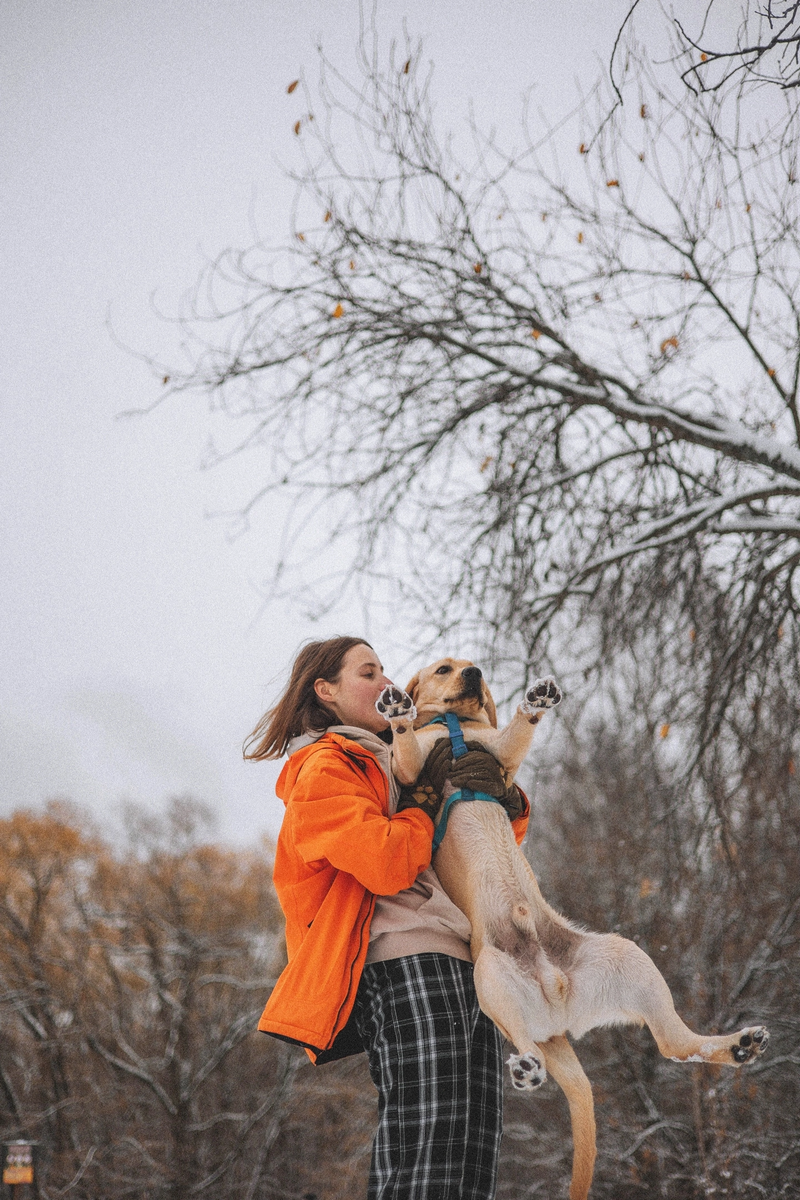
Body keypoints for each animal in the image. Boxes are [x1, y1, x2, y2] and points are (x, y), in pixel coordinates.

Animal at [379, 662, 772, 1195]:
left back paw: (740, 1044)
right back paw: (527, 1069)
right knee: (535, 1045)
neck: (454, 728)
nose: (475, 673)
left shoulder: (499, 758)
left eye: (472, 670)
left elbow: (517, 734)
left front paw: (536, 702)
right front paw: (398, 710)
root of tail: (558, 999)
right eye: (444, 669)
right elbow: (405, 749)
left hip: (629, 960)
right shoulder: (413, 768)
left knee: (675, 1043)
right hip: (491, 978)